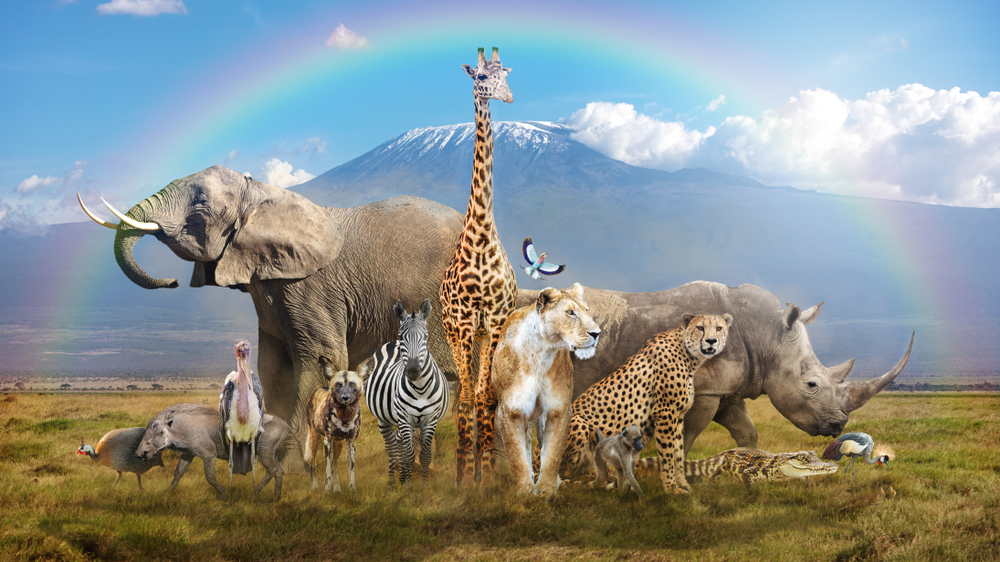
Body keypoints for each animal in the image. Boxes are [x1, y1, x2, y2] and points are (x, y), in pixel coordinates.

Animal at [81, 165, 464, 438]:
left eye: (200, 203)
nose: (171, 282)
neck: (262, 194)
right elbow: (274, 368)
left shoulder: (309, 286)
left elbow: (322, 357)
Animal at [364, 298, 450, 486]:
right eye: (401, 336)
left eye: (425, 337)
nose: (412, 371)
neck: (420, 389)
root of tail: (390, 344)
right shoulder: (405, 418)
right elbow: (409, 455)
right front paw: (409, 488)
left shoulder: (430, 420)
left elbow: (425, 455)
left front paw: (423, 485)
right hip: (385, 419)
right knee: (392, 449)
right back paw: (392, 482)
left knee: (399, 445)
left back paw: (402, 477)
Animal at [560, 312, 732, 492]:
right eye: (700, 327)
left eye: (719, 328)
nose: (711, 341)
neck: (689, 355)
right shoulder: (665, 413)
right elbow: (667, 454)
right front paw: (671, 488)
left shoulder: (678, 417)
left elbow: (678, 452)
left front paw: (683, 485)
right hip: (578, 423)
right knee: (564, 475)